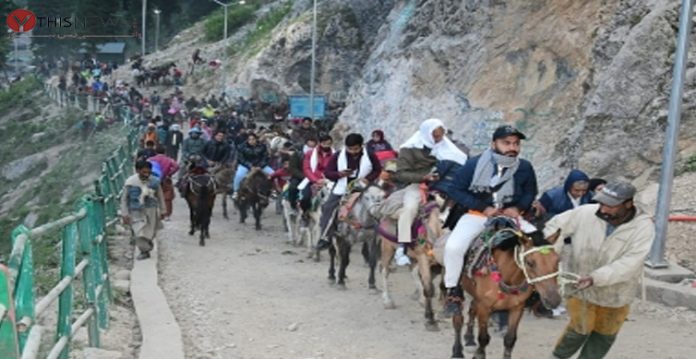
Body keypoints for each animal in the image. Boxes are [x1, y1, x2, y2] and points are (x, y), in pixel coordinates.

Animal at [448, 218, 564, 358]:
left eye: (557, 260)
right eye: (530, 262)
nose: (554, 300)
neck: (508, 278)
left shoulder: (517, 308)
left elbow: (510, 339)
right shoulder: (485, 307)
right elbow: (483, 338)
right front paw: (478, 353)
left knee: (472, 310)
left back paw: (469, 339)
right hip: (459, 290)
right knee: (458, 319)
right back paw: (457, 351)